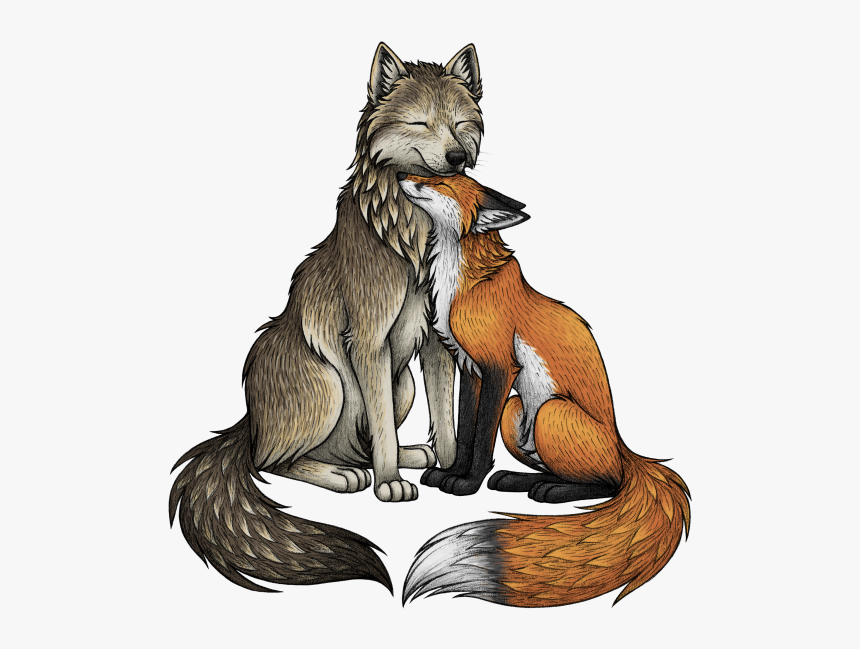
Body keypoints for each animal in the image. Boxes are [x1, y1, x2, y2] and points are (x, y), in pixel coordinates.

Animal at [168, 43, 486, 593]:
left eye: (459, 122)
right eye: (421, 122)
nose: (457, 158)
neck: (413, 232)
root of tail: (247, 424)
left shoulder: (434, 343)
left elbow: (441, 421)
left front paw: (446, 469)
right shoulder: (370, 342)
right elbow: (381, 434)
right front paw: (389, 484)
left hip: (400, 384)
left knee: (361, 441)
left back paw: (407, 457)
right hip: (331, 383)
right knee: (277, 461)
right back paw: (346, 476)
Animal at [396, 173, 691, 606]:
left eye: (443, 181)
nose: (402, 176)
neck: (461, 283)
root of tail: (627, 451)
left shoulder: (500, 368)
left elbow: (480, 439)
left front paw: (468, 483)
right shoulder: (470, 368)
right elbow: (465, 431)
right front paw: (451, 473)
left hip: (552, 412)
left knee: (608, 483)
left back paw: (550, 491)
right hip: (516, 413)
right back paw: (521, 480)